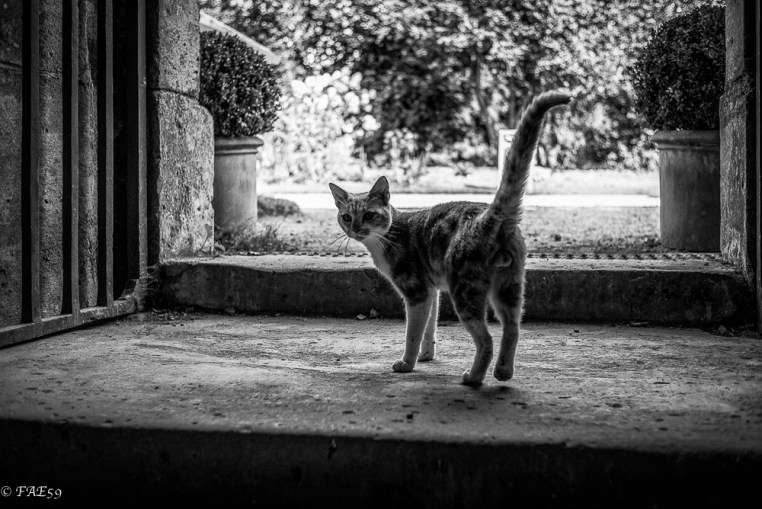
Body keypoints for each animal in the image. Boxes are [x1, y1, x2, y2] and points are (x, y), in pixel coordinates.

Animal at [329, 90, 571, 385]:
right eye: (346, 217)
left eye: (369, 215)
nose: (355, 229)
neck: (387, 236)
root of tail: (489, 216)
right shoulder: (431, 291)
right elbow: (429, 328)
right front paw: (426, 355)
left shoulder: (417, 292)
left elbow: (413, 333)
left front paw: (407, 363)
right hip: (509, 287)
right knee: (513, 328)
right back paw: (503, 372)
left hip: (465, 291)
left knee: (486, 340)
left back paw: (474, 378)